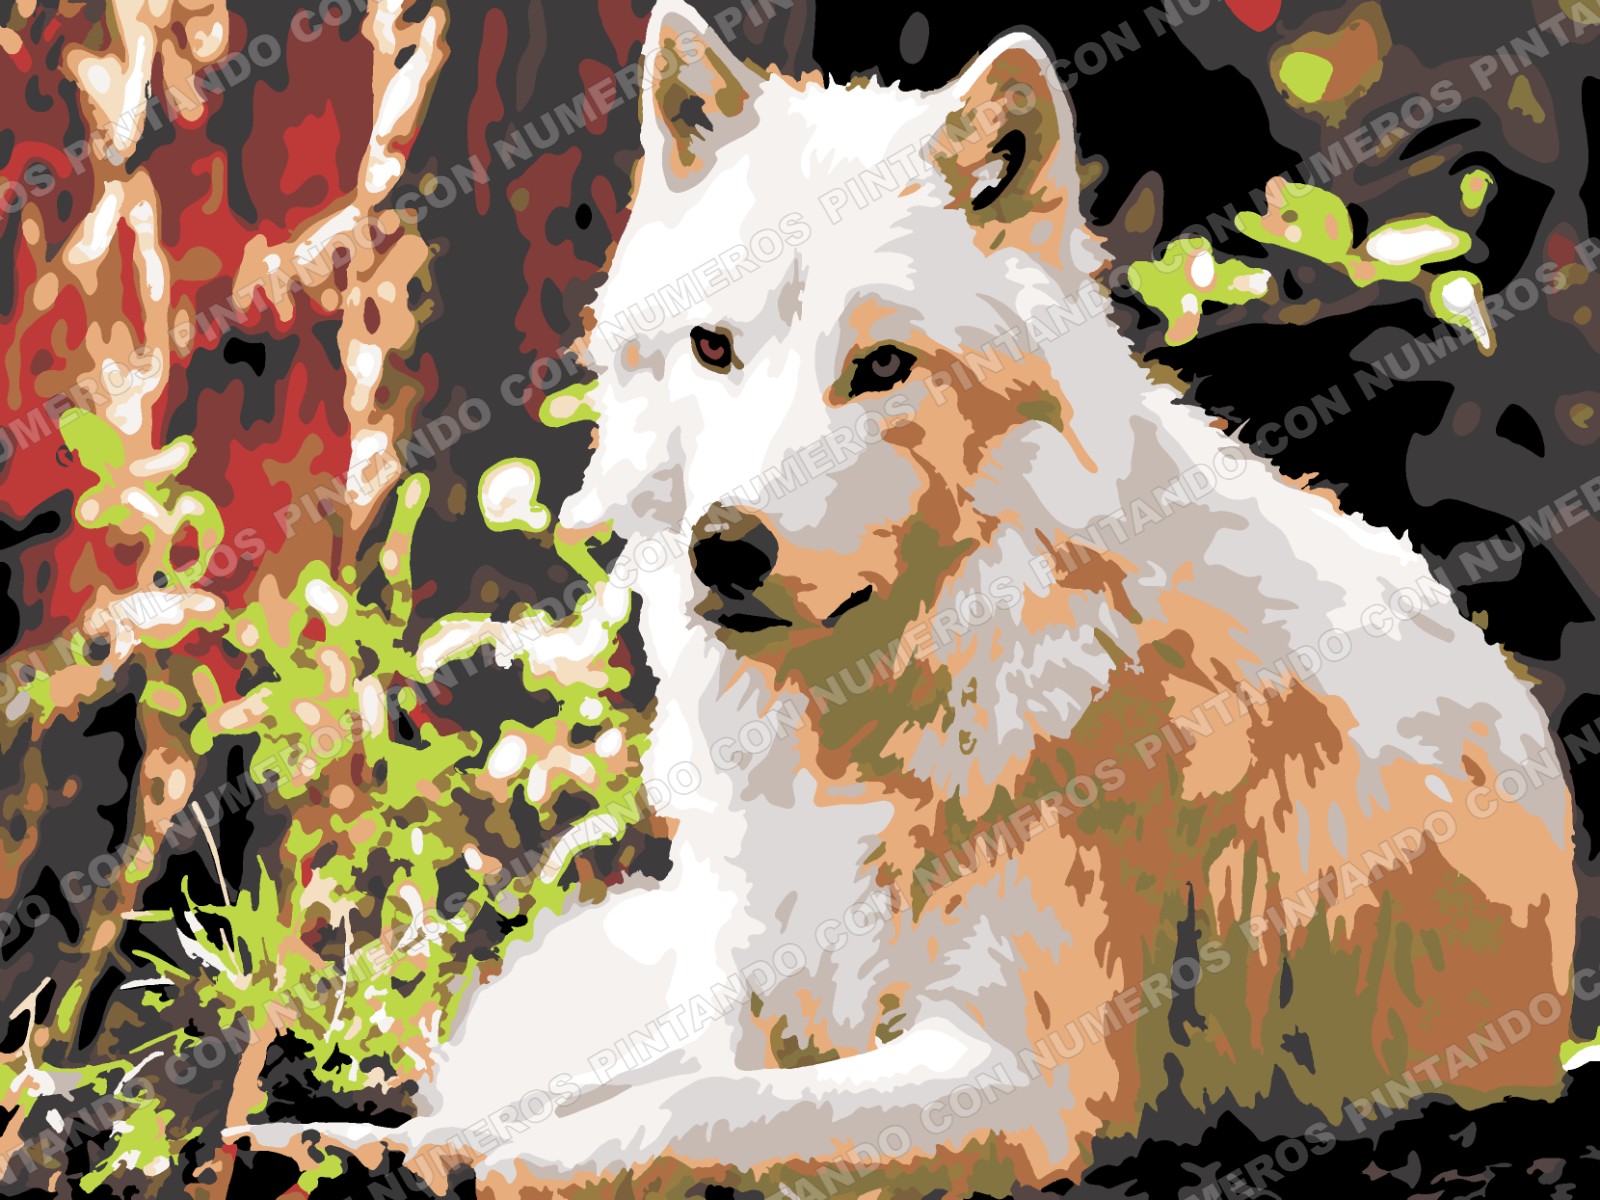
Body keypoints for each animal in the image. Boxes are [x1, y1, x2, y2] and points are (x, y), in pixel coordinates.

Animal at [238, 1, 1576, 1190]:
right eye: (712, 347)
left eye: (883, 366)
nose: (723, 549)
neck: (857, 727)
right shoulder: (760, 997)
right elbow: (651, 1084)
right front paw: (392, 1146)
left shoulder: (1015, 1081)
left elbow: (697, 1111)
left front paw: (515, 1165)